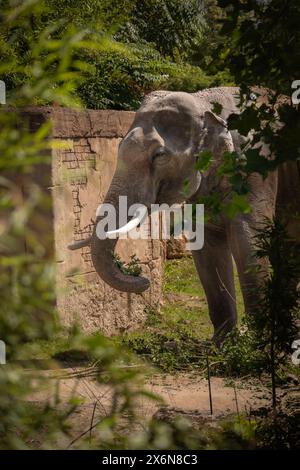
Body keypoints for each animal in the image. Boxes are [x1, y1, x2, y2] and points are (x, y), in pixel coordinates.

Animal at [68, 85, 300, 342]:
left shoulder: (255, 168)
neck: (206, 105)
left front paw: (255, 346)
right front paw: (222, 345)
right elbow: (206, 246)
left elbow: (248, 239)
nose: (142, 278)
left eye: (159, 156)